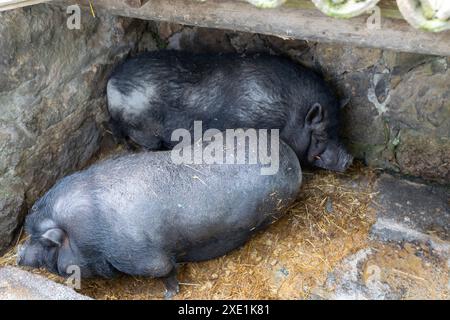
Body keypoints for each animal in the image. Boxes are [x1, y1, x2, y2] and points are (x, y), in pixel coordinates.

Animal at [16, 137, 302, 298]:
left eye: (42, 241)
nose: (18, 255)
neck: (87, 233)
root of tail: (293, 159)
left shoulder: (145, 258)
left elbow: (165, 270)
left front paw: (169, 294)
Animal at [108, 51, 352, 172]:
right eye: (321, 134)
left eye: (338, 129)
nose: (349, 159)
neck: (287, 114)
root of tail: (111, 84)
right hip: (141, 128)